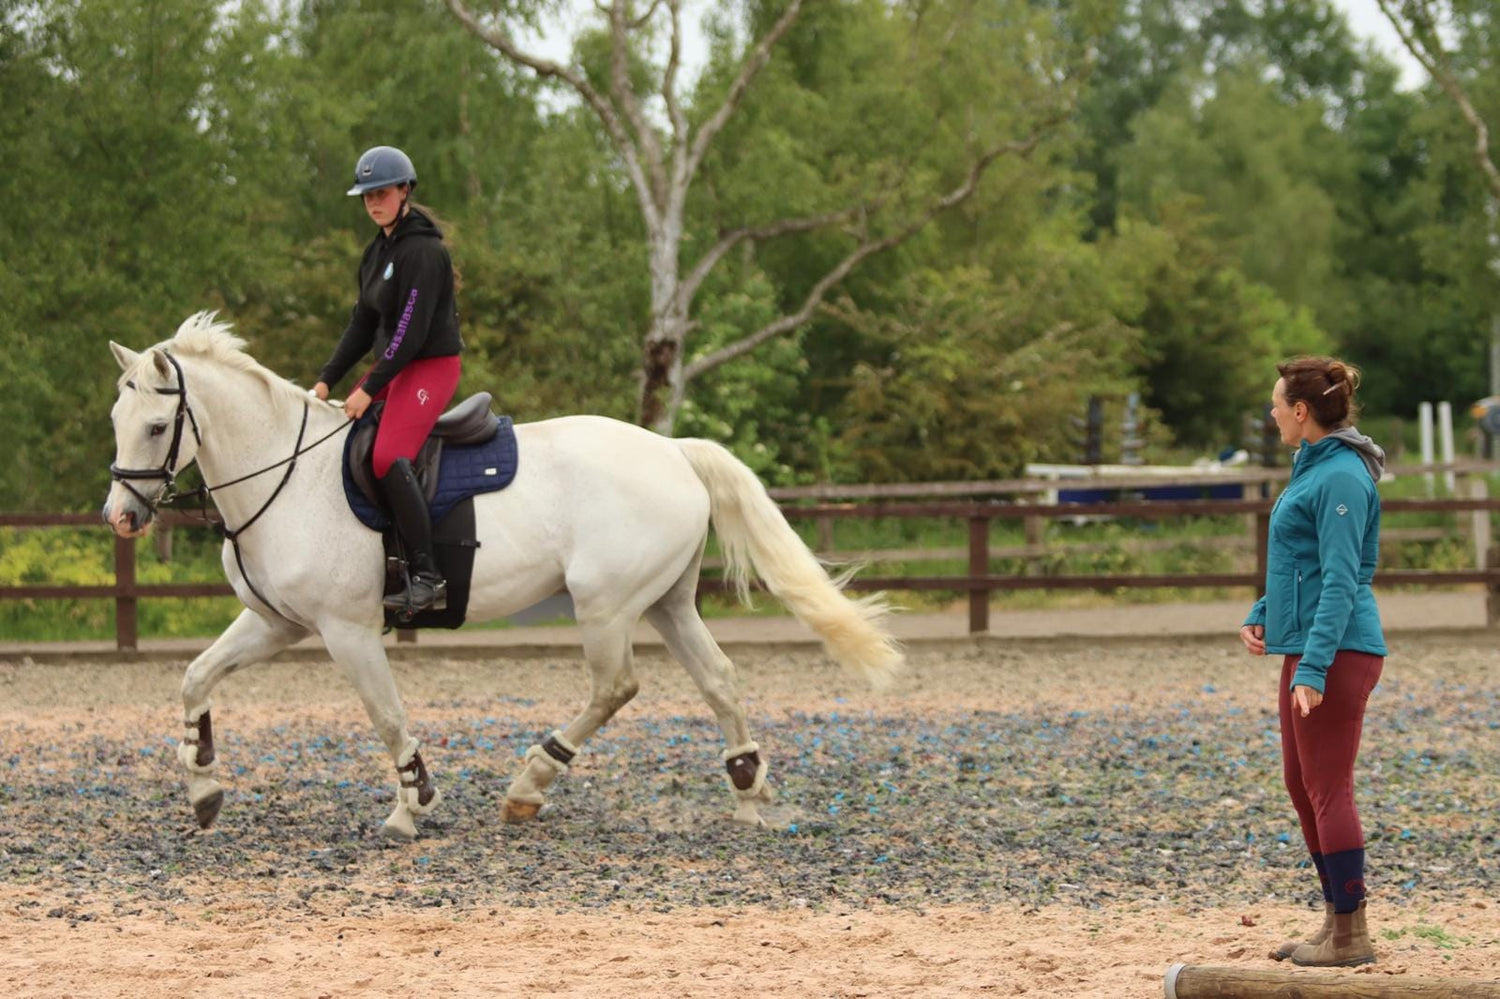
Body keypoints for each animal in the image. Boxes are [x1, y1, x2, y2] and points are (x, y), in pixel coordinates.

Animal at [102, 312, 900, 834]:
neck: (288, 474)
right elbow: (196, 677)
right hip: (667, 602)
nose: (122, 516)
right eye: (117, 420)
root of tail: (673, 450)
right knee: (719, 679)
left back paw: (531, 782)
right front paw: (203, 788)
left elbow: (386, 715)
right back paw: (748, 788)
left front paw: (410, 804)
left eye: (155, 426)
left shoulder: (345, 629)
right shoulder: (277, 622)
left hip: (605, 604)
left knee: (616, 686)